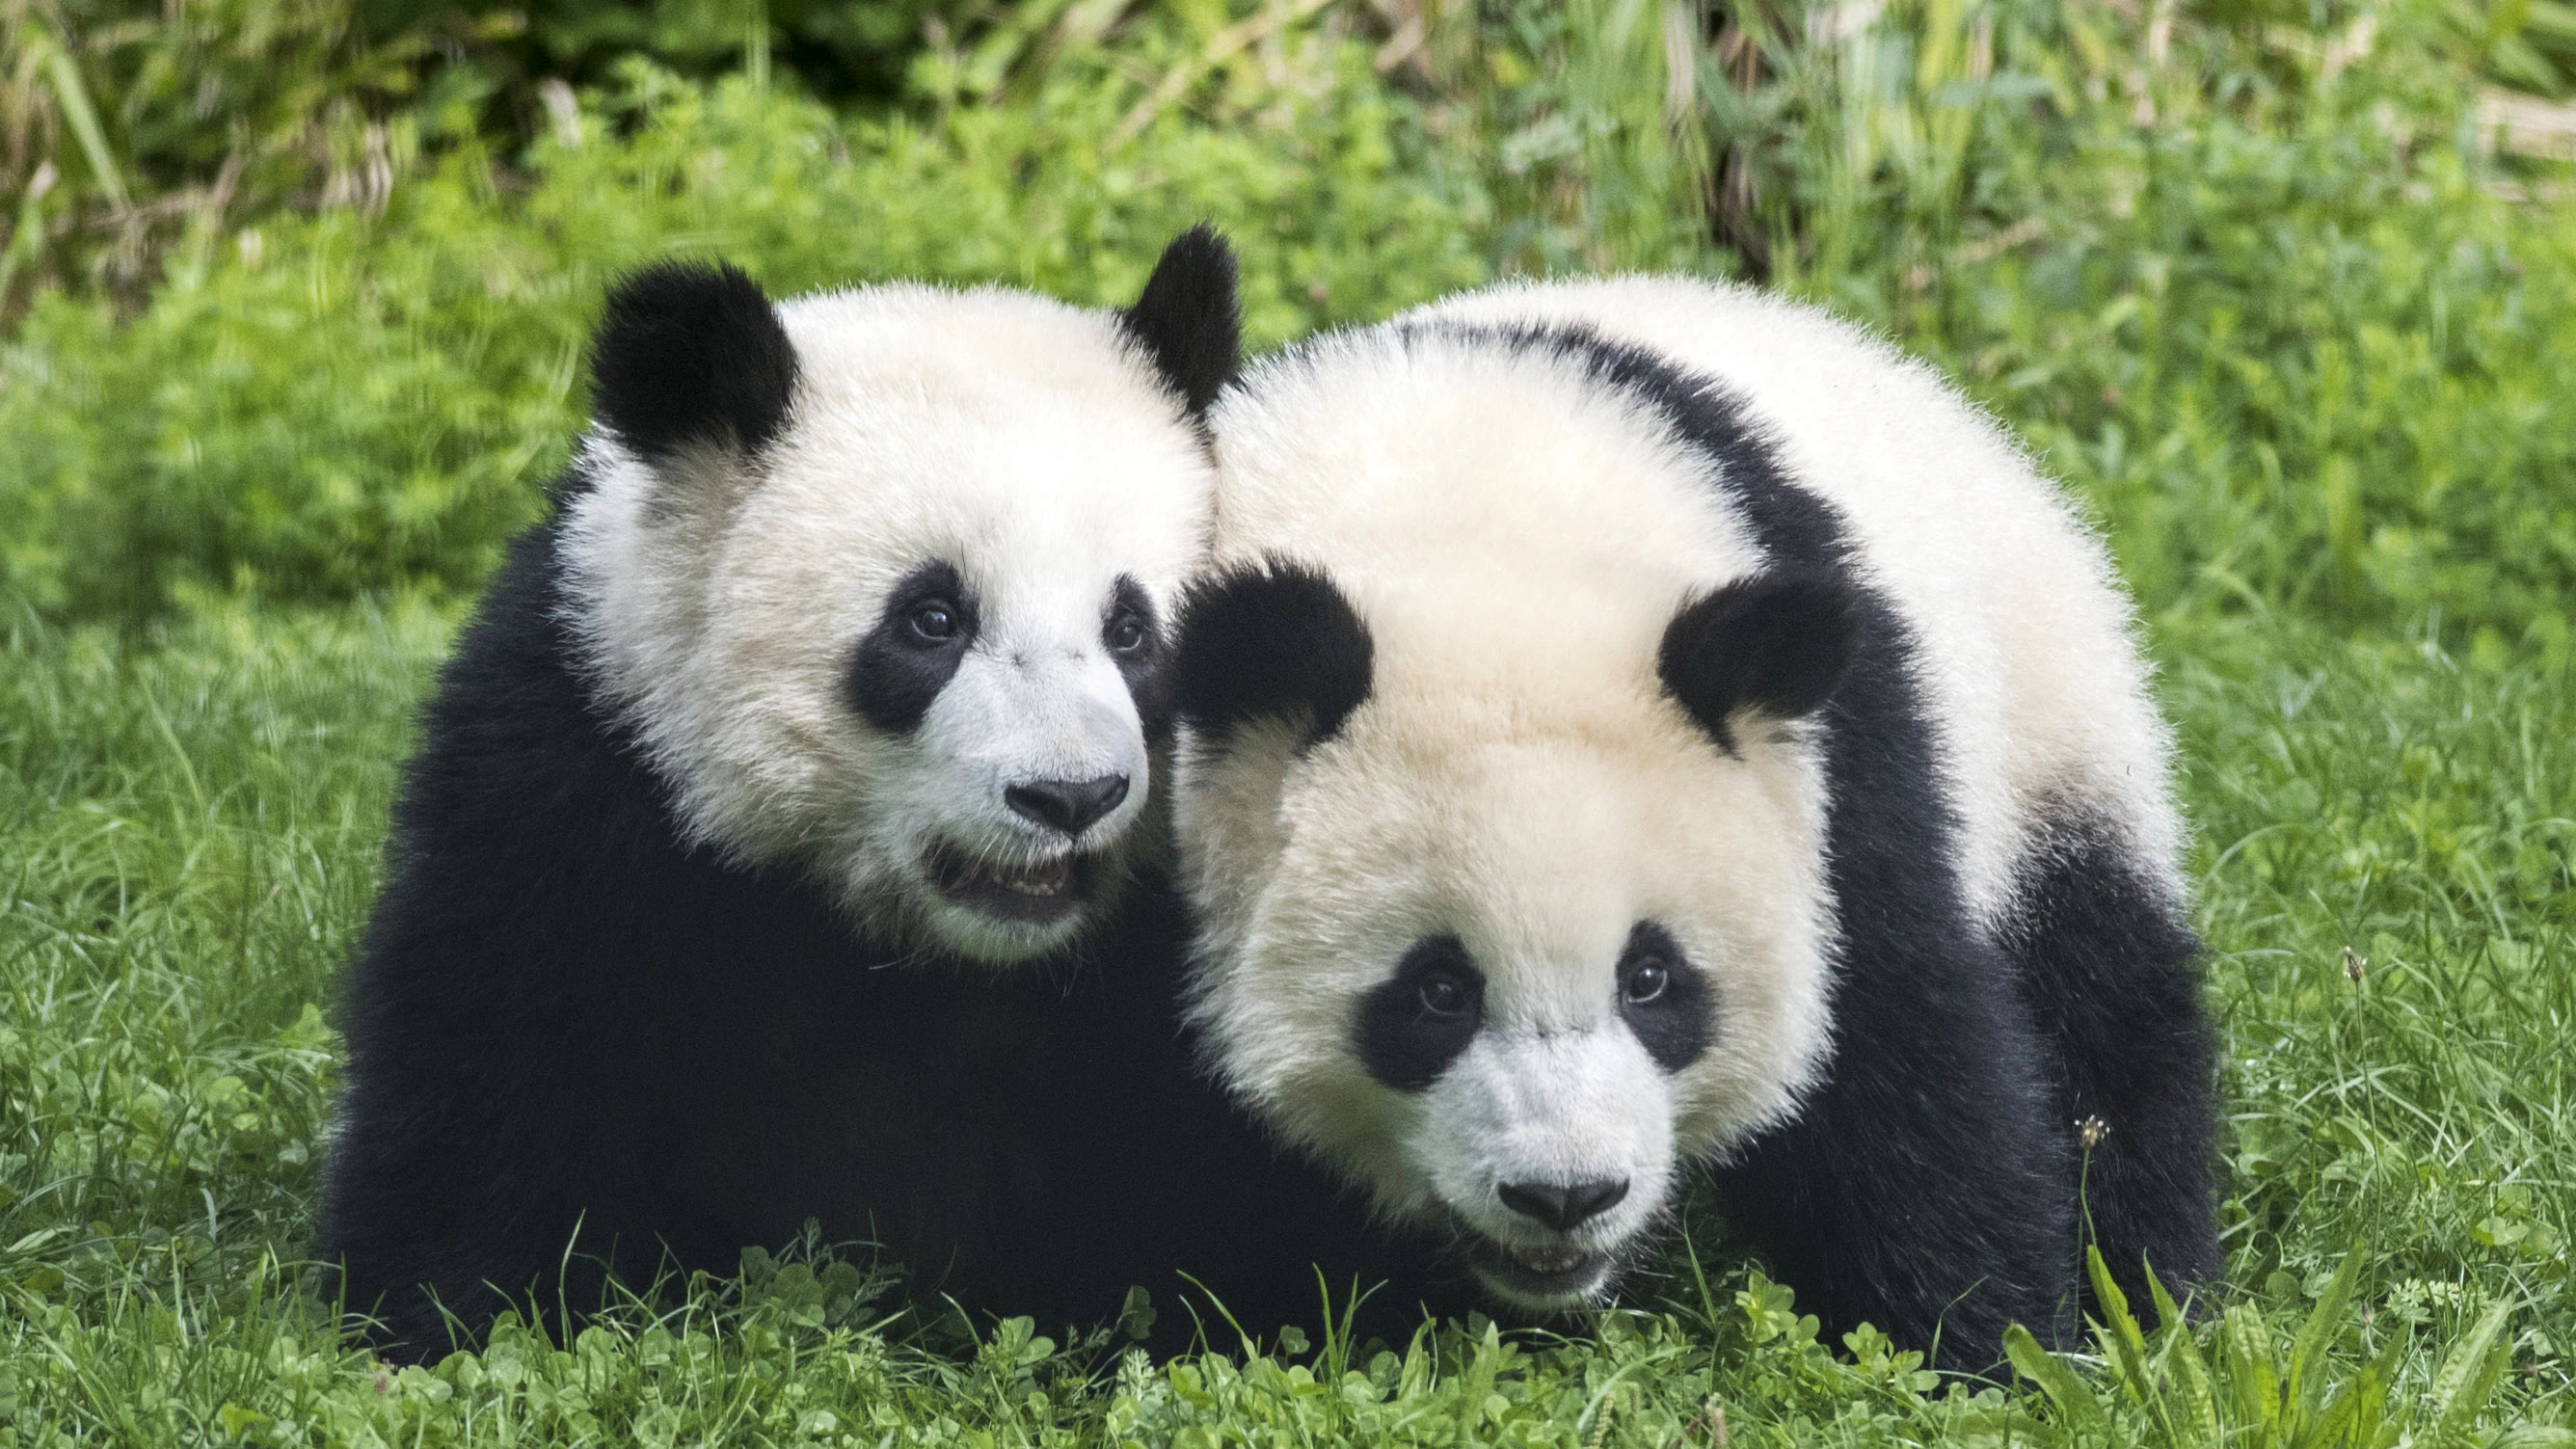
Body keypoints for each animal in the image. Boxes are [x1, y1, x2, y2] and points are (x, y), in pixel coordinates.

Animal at [319, 229, 1423, 1360]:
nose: (1070, 795)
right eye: (931, 620)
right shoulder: (587, 772)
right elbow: (500, 1050)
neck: (928, 955)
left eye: (1131, 630)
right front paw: (461, 1312)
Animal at [1168, 276, 2220, 1369]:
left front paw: (1982, 1343)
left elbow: (1904, 1062)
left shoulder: (1839, 784)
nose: (1564, 1194)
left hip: (2043, 739)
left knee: (2105, 1014)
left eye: (1651, 978)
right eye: (1435, 991)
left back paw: (2148, 1287)